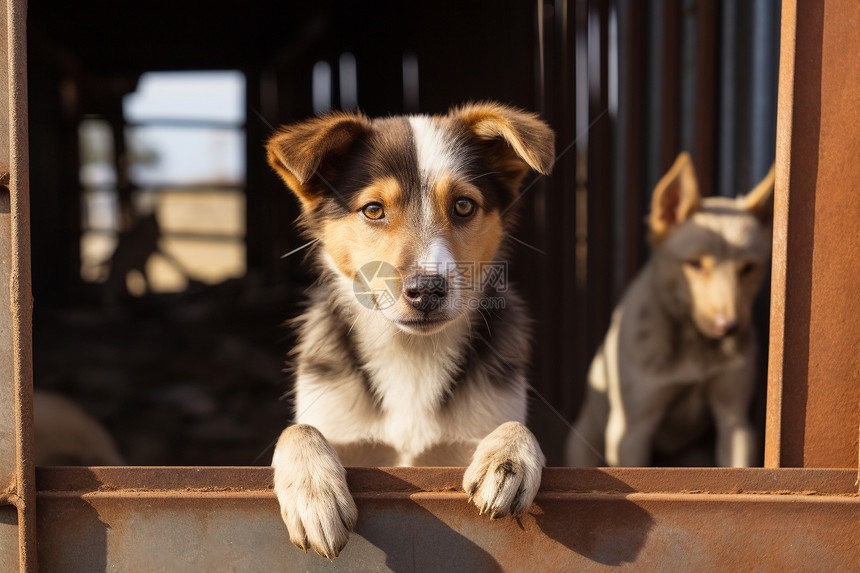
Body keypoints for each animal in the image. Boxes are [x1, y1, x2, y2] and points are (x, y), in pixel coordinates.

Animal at [266, 100, 556, 556]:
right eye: (373, 210)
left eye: (463, 206)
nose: (427, 290)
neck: (410, 350)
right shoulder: (341, 428)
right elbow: (299, 428)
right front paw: (314, 491)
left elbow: (517, 424)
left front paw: (507, 460)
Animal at [568, 154, 776, 466]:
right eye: (695, 264)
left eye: (748, 268)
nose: (729, 327)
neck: (693, 346)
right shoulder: (631, 430)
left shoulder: (735, 422)